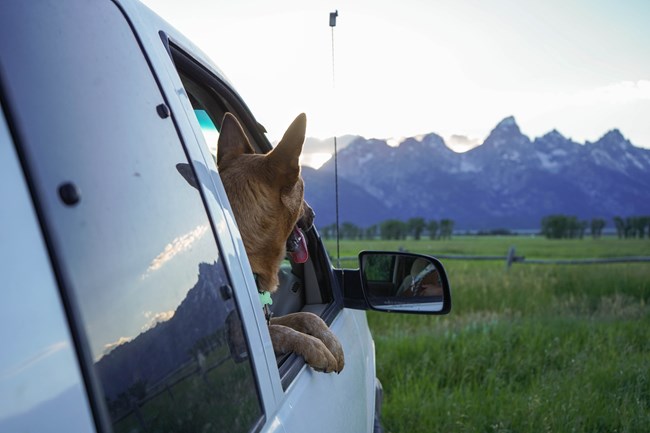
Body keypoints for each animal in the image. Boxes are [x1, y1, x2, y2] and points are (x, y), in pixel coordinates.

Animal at [215, 111, 344, 372]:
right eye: (302, 188)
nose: (314, 214)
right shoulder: (243, 340)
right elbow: (283, 331)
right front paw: (316, 347)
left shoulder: (272, 318)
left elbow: (306, 315)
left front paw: (331, 343)